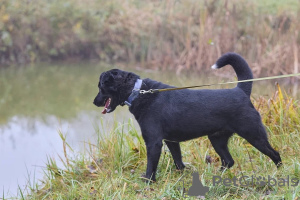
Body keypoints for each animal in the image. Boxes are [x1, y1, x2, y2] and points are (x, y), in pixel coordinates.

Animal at [93, 52, 282, 181]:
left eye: (101, 86)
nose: (95, 102)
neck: (138, 91)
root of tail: (241, 91)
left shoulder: (154, 142)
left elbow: (151, 166)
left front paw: (148, 182)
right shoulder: (171, 141)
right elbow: (178, 161)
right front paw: (182, 175)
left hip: (254, 134)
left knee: (275, 154)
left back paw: (280, 173)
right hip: (217, 139)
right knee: (229, 161)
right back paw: (214, 175)